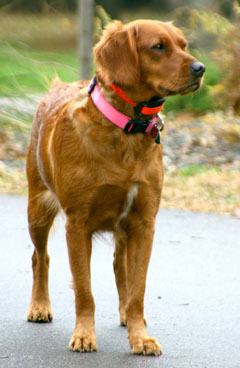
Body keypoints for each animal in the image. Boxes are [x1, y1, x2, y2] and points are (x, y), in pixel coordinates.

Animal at [26, 18, 204, 356]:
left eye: (183, 45)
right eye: (159, 46)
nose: (200, 68)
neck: (126, 130)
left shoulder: (144, 223)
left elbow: (137, 289)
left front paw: (140, 336)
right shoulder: (77, 224)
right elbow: (84, 290)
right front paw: (84, 335)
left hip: (124, 228)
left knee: (119, 268)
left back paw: (125, 315)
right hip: (38, 211)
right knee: (40, 258)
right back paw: (39, 306)